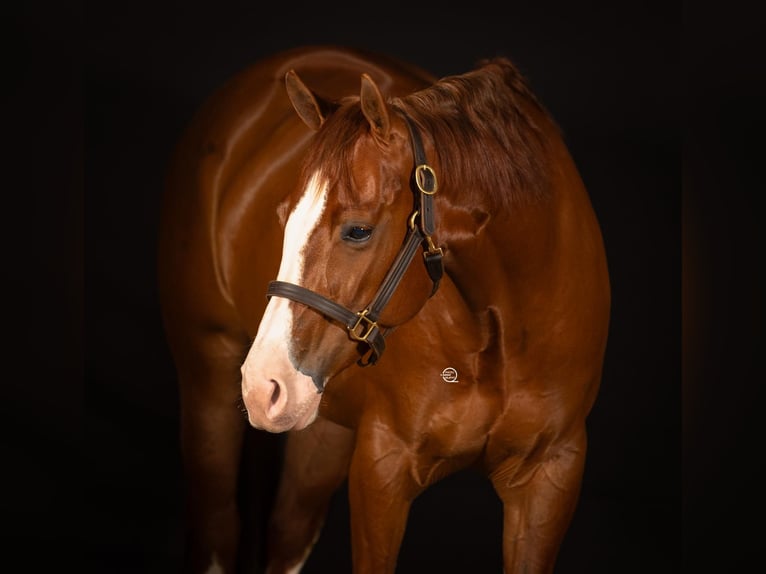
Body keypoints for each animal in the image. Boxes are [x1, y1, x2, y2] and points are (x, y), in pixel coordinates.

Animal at [158, 44, 610, 574]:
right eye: (283, 215)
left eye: (358, 230)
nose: (262, 384)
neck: (506, 326)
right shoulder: (383, 469)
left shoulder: (550, 476)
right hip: (208, 385)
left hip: (323, 428)